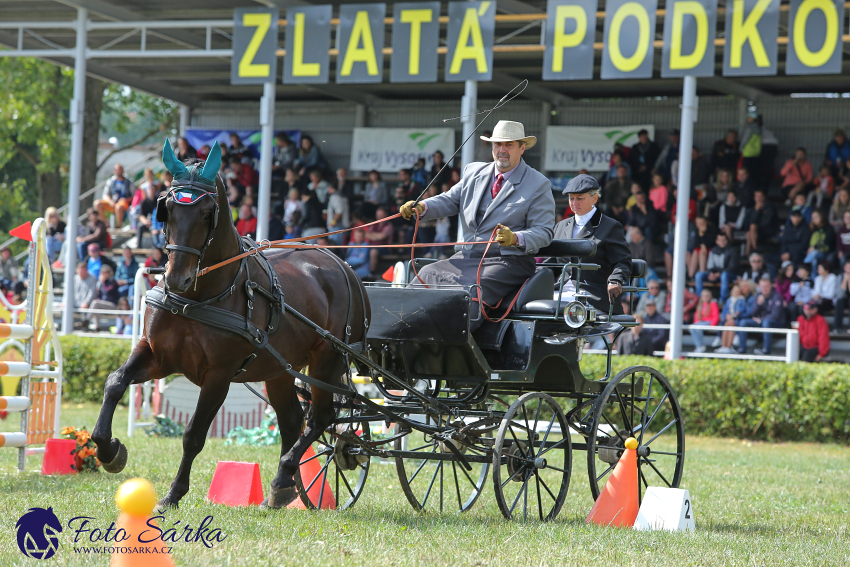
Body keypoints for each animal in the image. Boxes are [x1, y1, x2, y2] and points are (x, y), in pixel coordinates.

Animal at [91, 141, 370, 510]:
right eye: (167, 208)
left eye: (207, 212)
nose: (177, 278)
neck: (196, 297)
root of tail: (344, 266)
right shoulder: (157, 355)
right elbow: (115, 382)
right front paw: (109, 451)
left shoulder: (218, 375)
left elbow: (194, 434)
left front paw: (173, 494)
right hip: (279, 369)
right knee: (293, 421)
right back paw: (282, 487)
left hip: (328, 361)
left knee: (320, 418)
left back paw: (285, 473)